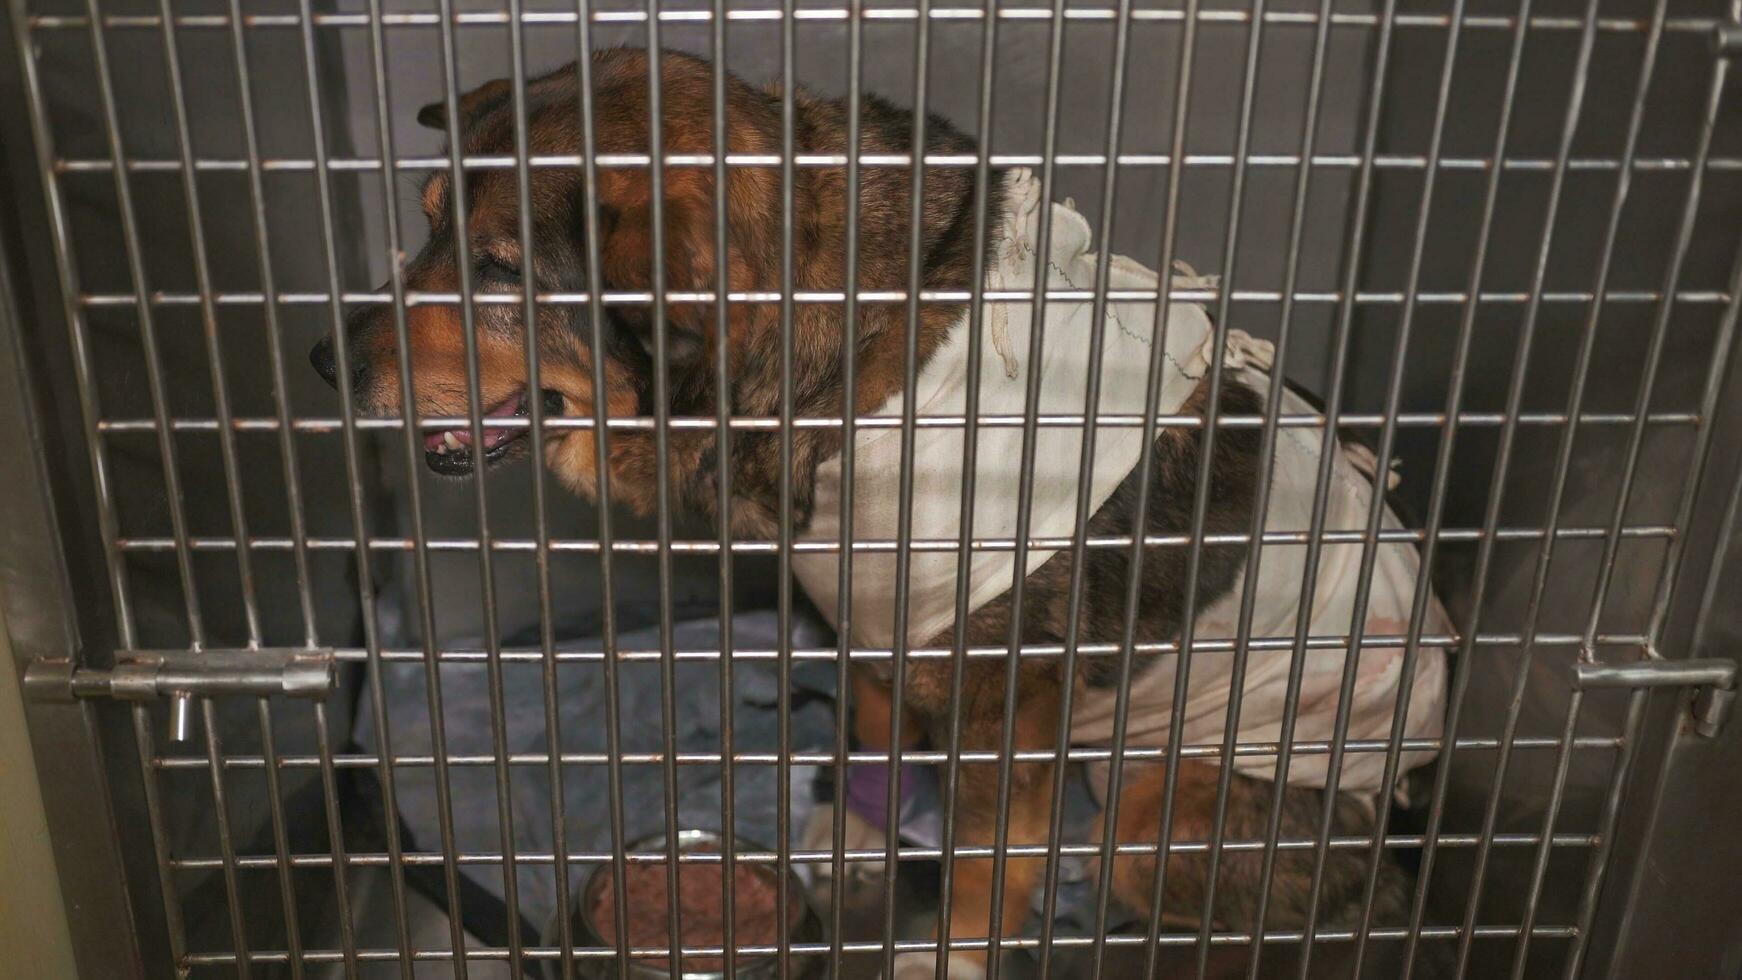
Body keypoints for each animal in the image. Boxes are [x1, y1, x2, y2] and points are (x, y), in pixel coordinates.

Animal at [317, 47, 1456, 980]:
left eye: (499, 271)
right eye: (427, 227)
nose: (326, 360)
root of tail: (1415, 796)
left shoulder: (1001, 704)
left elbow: (984, 865)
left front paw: (949, 953)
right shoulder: (870, 610)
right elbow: (869, 734)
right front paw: (848, 840)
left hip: (1163, 807)